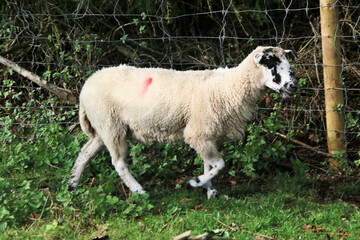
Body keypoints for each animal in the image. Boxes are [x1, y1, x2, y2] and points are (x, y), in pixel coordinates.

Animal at [69, 45, 296, 199]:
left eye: (288, 64)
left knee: (84, 154)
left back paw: (72, 186)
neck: (229, 88)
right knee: (118, 163)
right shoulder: (198, 132)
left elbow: (208, 164)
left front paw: (209, 190)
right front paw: (195, 183)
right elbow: (220, 164)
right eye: (270, 63)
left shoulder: (207, 134)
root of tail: (86, 87)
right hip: (110, 126)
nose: (293, 85)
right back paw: (140, 191)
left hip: (103, 128)